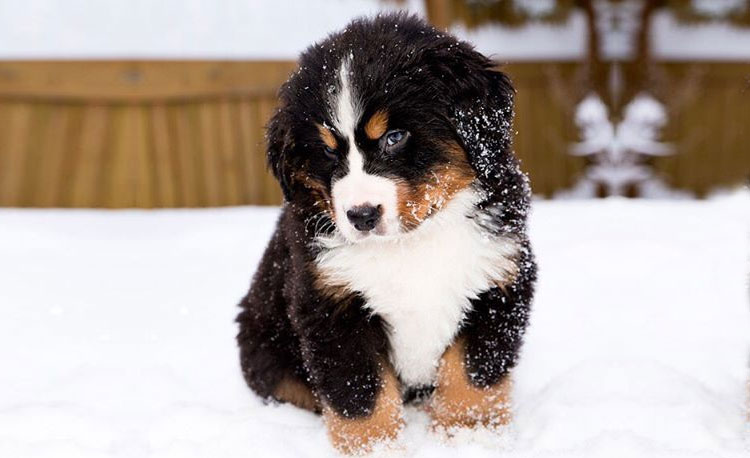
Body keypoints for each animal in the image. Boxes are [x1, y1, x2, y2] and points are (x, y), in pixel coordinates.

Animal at [238, 12, 536, 452]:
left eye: (395, 137)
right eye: (326, 150)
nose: (361, 215)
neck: (411, 243)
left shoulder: (498, 280)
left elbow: (472, 375)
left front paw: (469, 438)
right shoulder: (330, 304)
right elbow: (361, 394)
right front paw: (375, 448)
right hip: (265, 351)